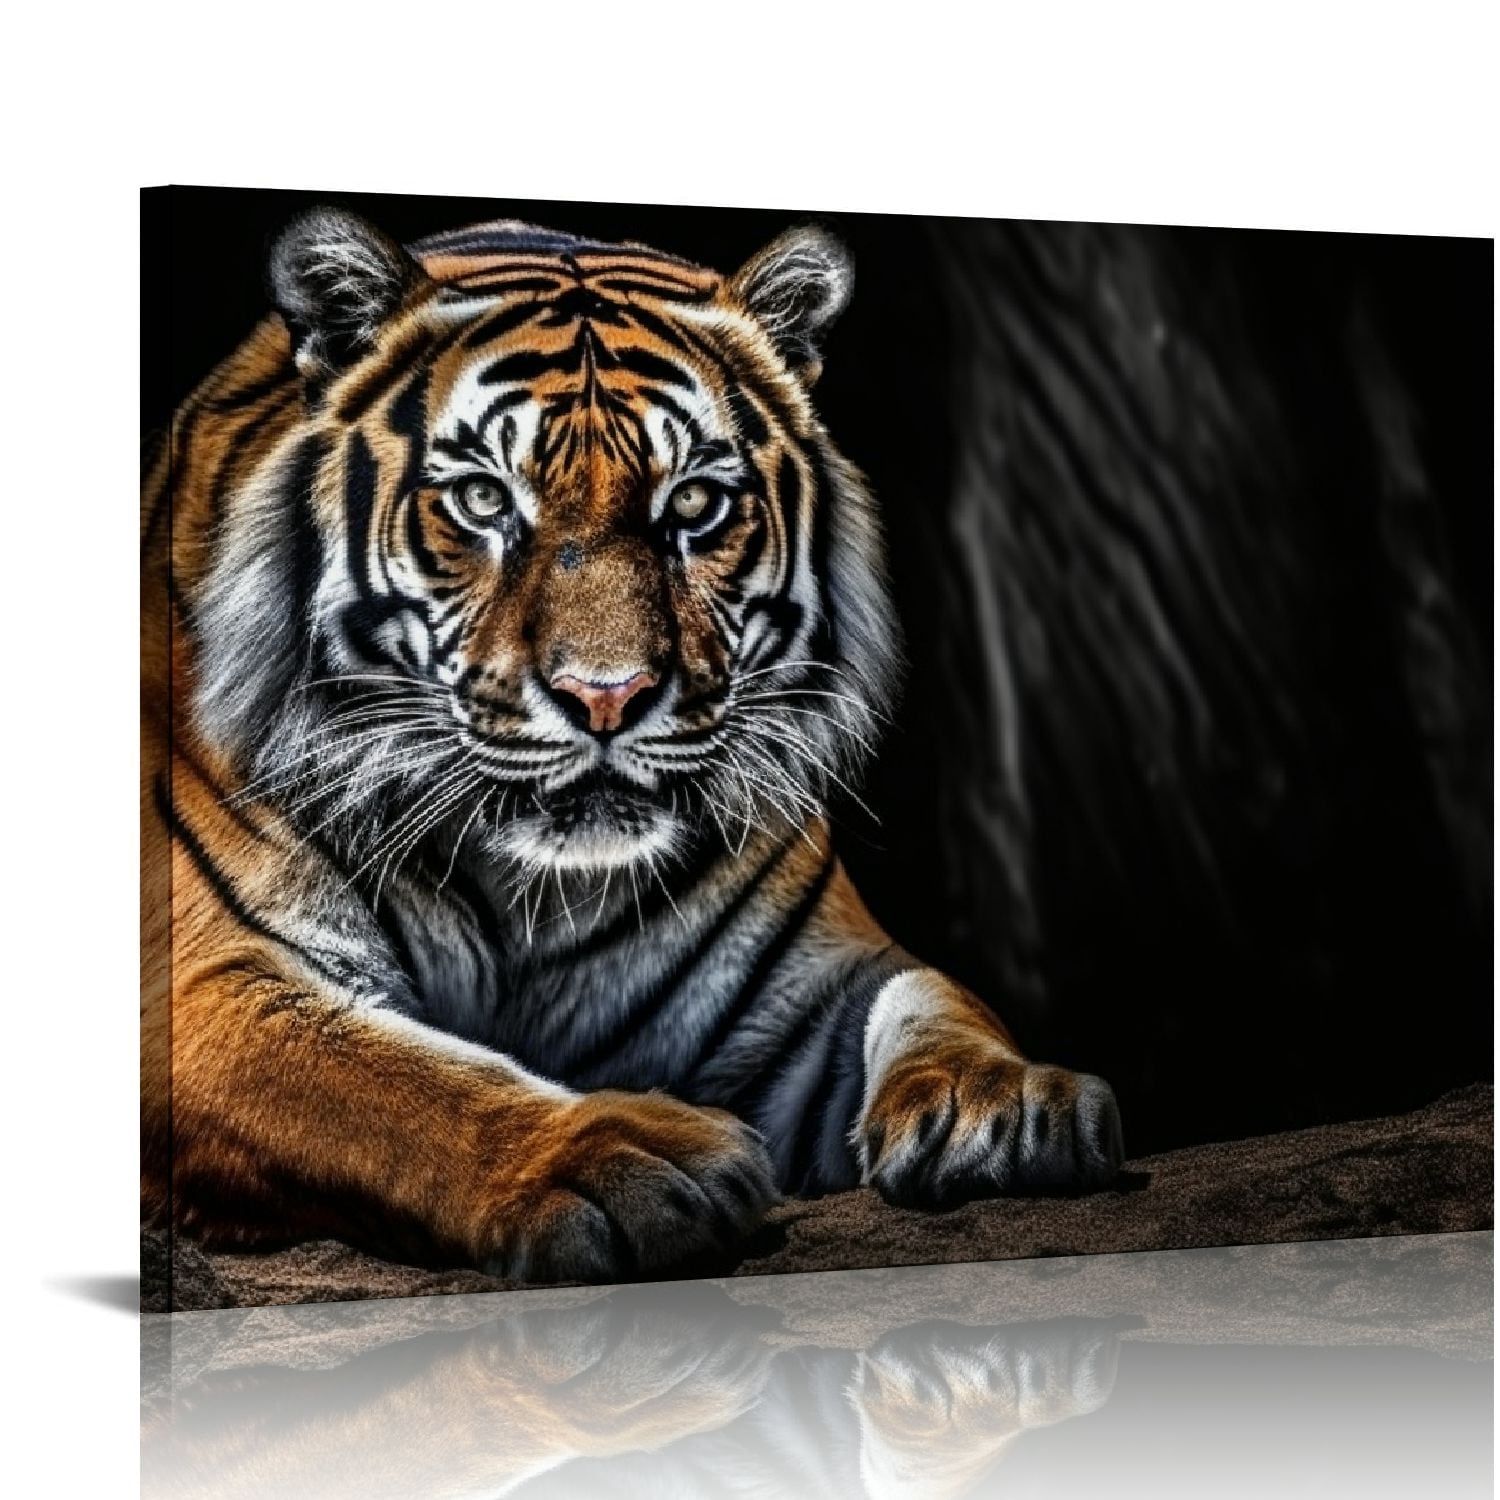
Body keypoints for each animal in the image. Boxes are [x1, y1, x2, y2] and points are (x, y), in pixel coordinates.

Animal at [140, 207, 1123, 1284]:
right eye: (483, 501)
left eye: (693, 504)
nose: (605, 696)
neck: (533, 895)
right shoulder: (202, 985)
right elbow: (391, 1085)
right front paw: (615, 1158)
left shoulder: (806, 981)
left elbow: (932, 994)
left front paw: (1006, 1100)